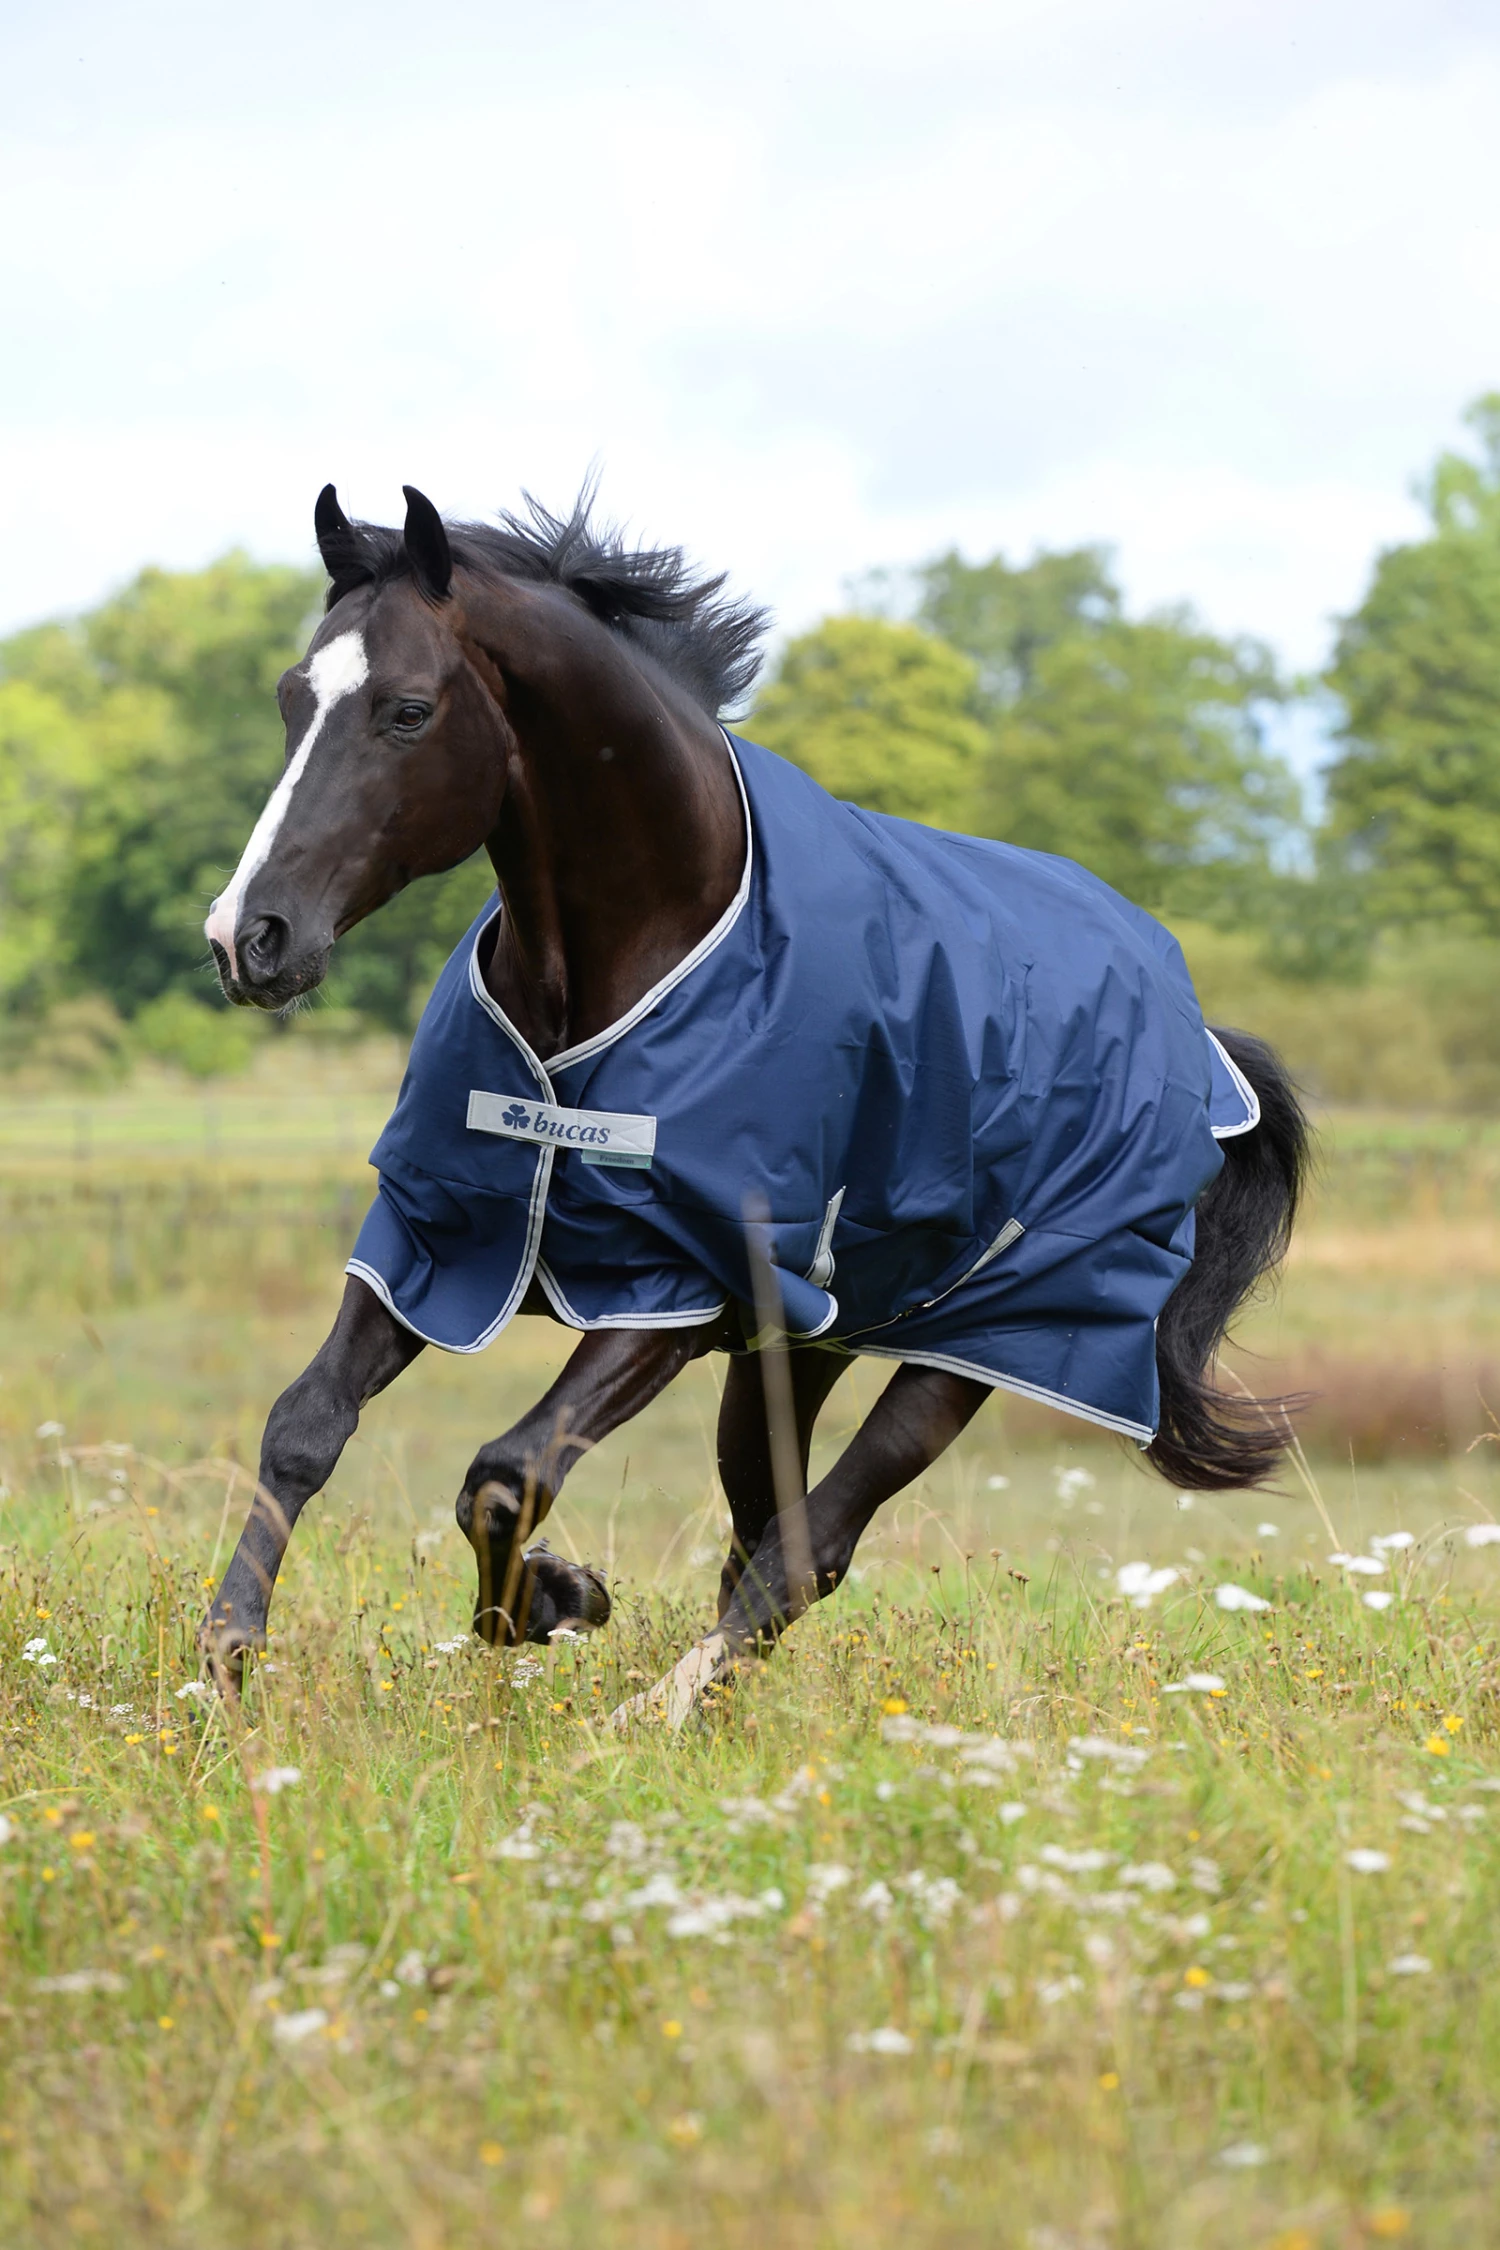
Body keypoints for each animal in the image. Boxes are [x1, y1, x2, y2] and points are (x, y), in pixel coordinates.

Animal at [200, 482, 1309, 1724]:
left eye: (406, 710)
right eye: (293, 696)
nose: (249, 937)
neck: (642, 951)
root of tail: (1197, 1040)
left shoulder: (676, 1287)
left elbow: (506, 1475)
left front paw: (558, 1598)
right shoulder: (438, 1232)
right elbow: (305, 1423)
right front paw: (225, 1659)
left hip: (986, 1344)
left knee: (808, 1546)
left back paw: (659, 1713)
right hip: (804, 1347)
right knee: (764, 1530)